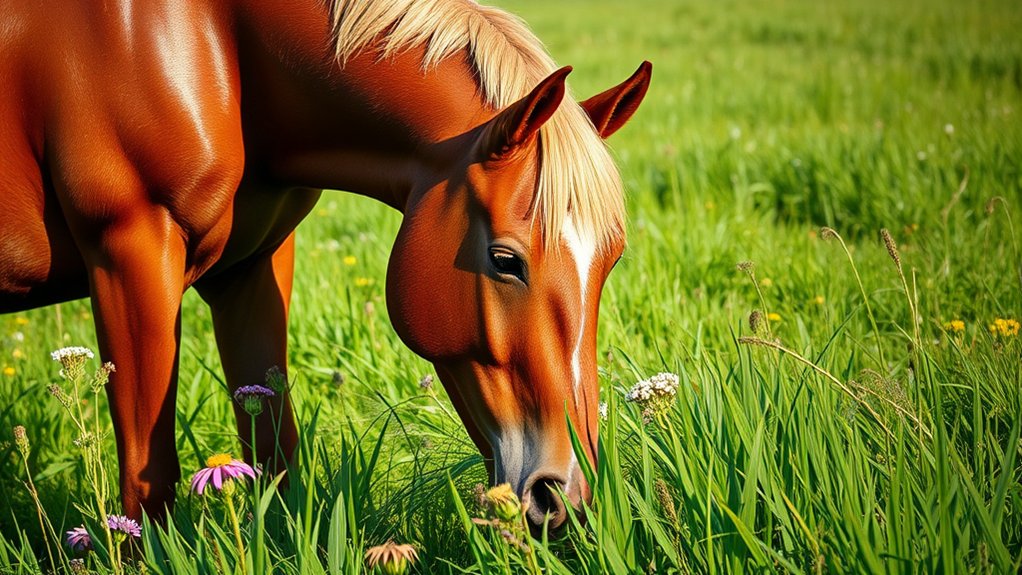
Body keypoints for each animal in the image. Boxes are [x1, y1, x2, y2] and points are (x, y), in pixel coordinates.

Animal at [0, 0, 650, 531]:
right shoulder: (129, 253)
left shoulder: (251, 268)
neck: (209, 40)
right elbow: (148, 479)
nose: (566, 497)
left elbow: (273, 454)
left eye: (612, 260)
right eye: (504, 260)